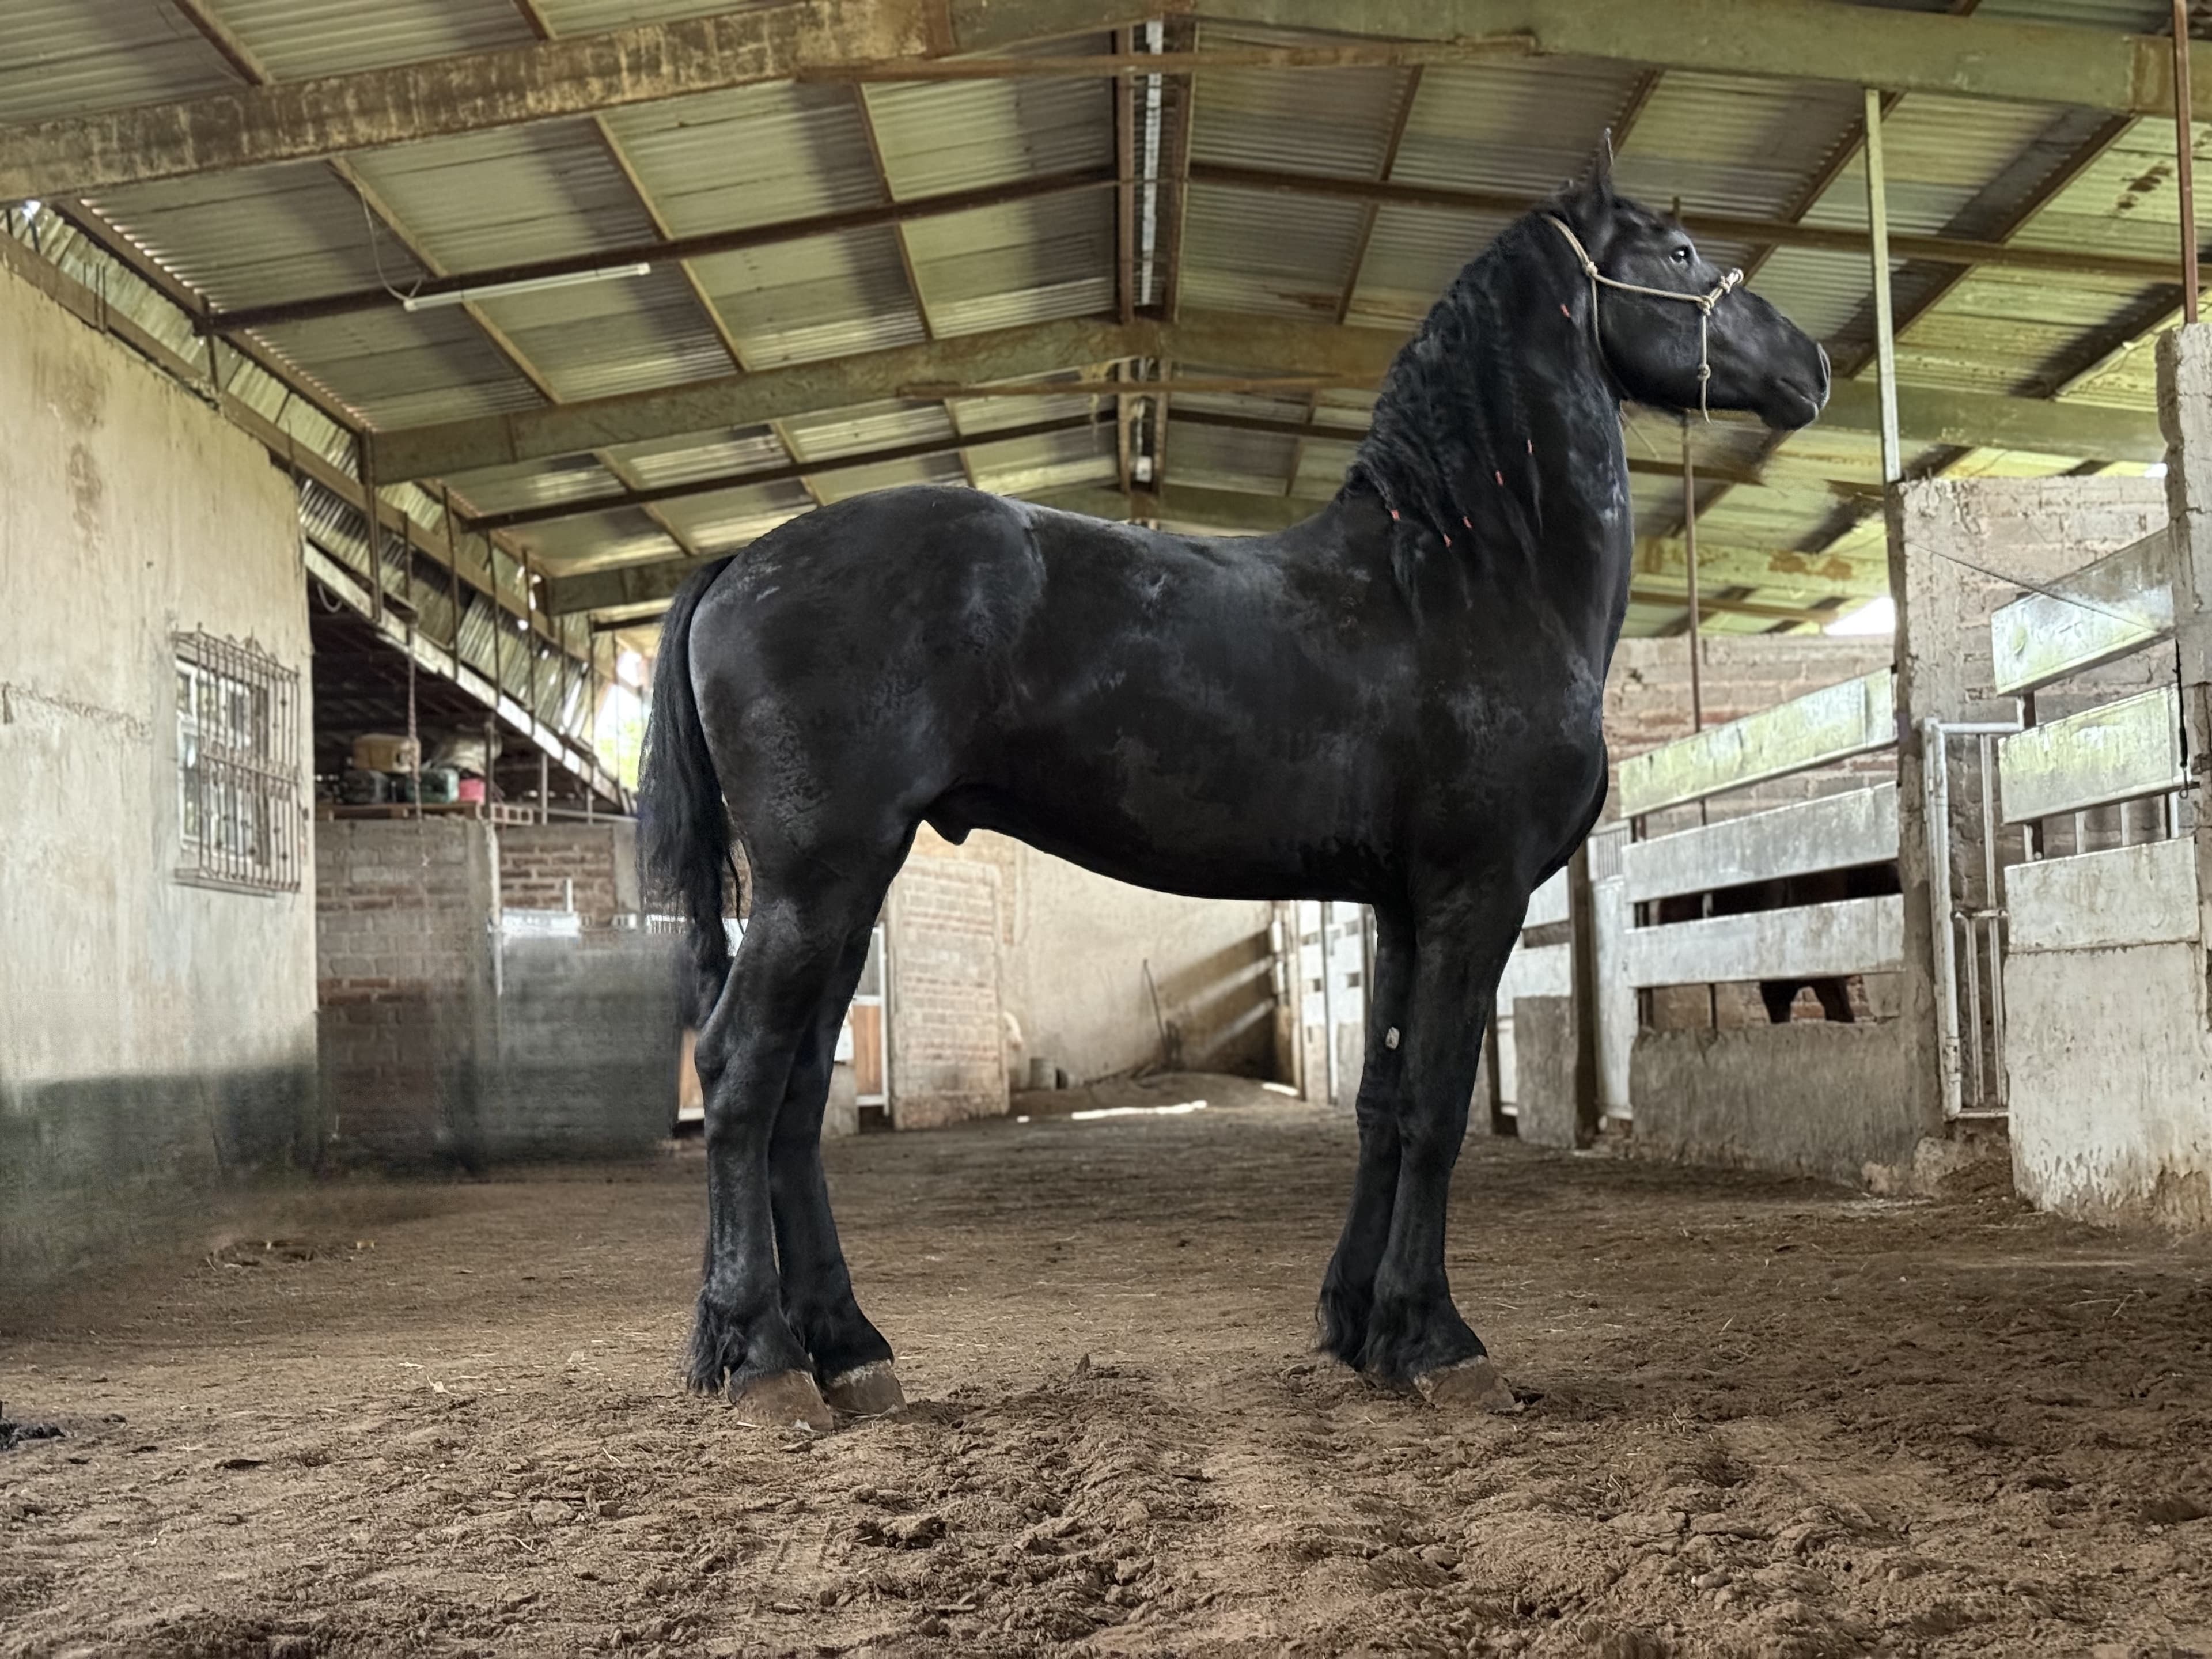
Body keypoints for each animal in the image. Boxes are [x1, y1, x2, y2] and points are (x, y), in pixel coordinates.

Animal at [637, 146, 1830, 1429]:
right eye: (1679, 252)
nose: (1811, 366)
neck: (1468, 578)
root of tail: (743, 564)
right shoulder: (1480, 895)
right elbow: (1439, 1106)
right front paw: (1437, 1339)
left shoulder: (1403, 906)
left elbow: (1382, 1102)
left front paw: (1361, 1330)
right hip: (820, 881)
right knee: (742, 1074)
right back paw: (763, 1359)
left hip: (847, 888)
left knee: (800, 1092)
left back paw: (848, 1349)